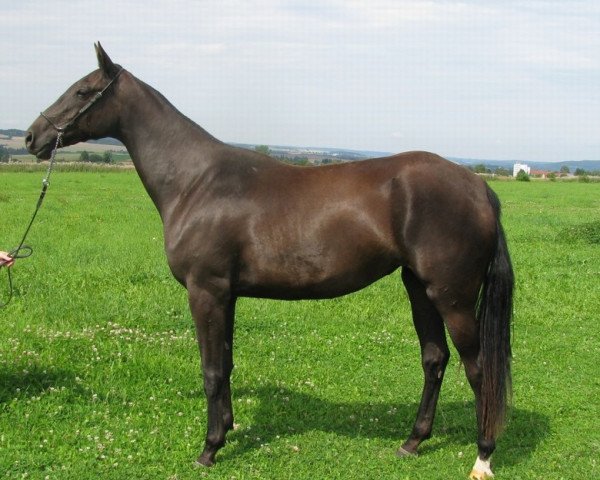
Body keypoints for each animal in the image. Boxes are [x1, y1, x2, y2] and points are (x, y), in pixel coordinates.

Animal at [25, 44, 512, 480]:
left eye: (83, 91)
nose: (32, 137)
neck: (197, 182)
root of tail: (478, 186)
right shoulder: (226, 295)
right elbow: (226, 364)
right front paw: (225, 431)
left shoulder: (206, 292)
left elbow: (211, 369)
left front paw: (208, 449)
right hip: (419, 288)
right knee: (434, 359)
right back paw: (412, 442)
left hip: (452, 297)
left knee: (478, 369)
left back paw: (483, 456)